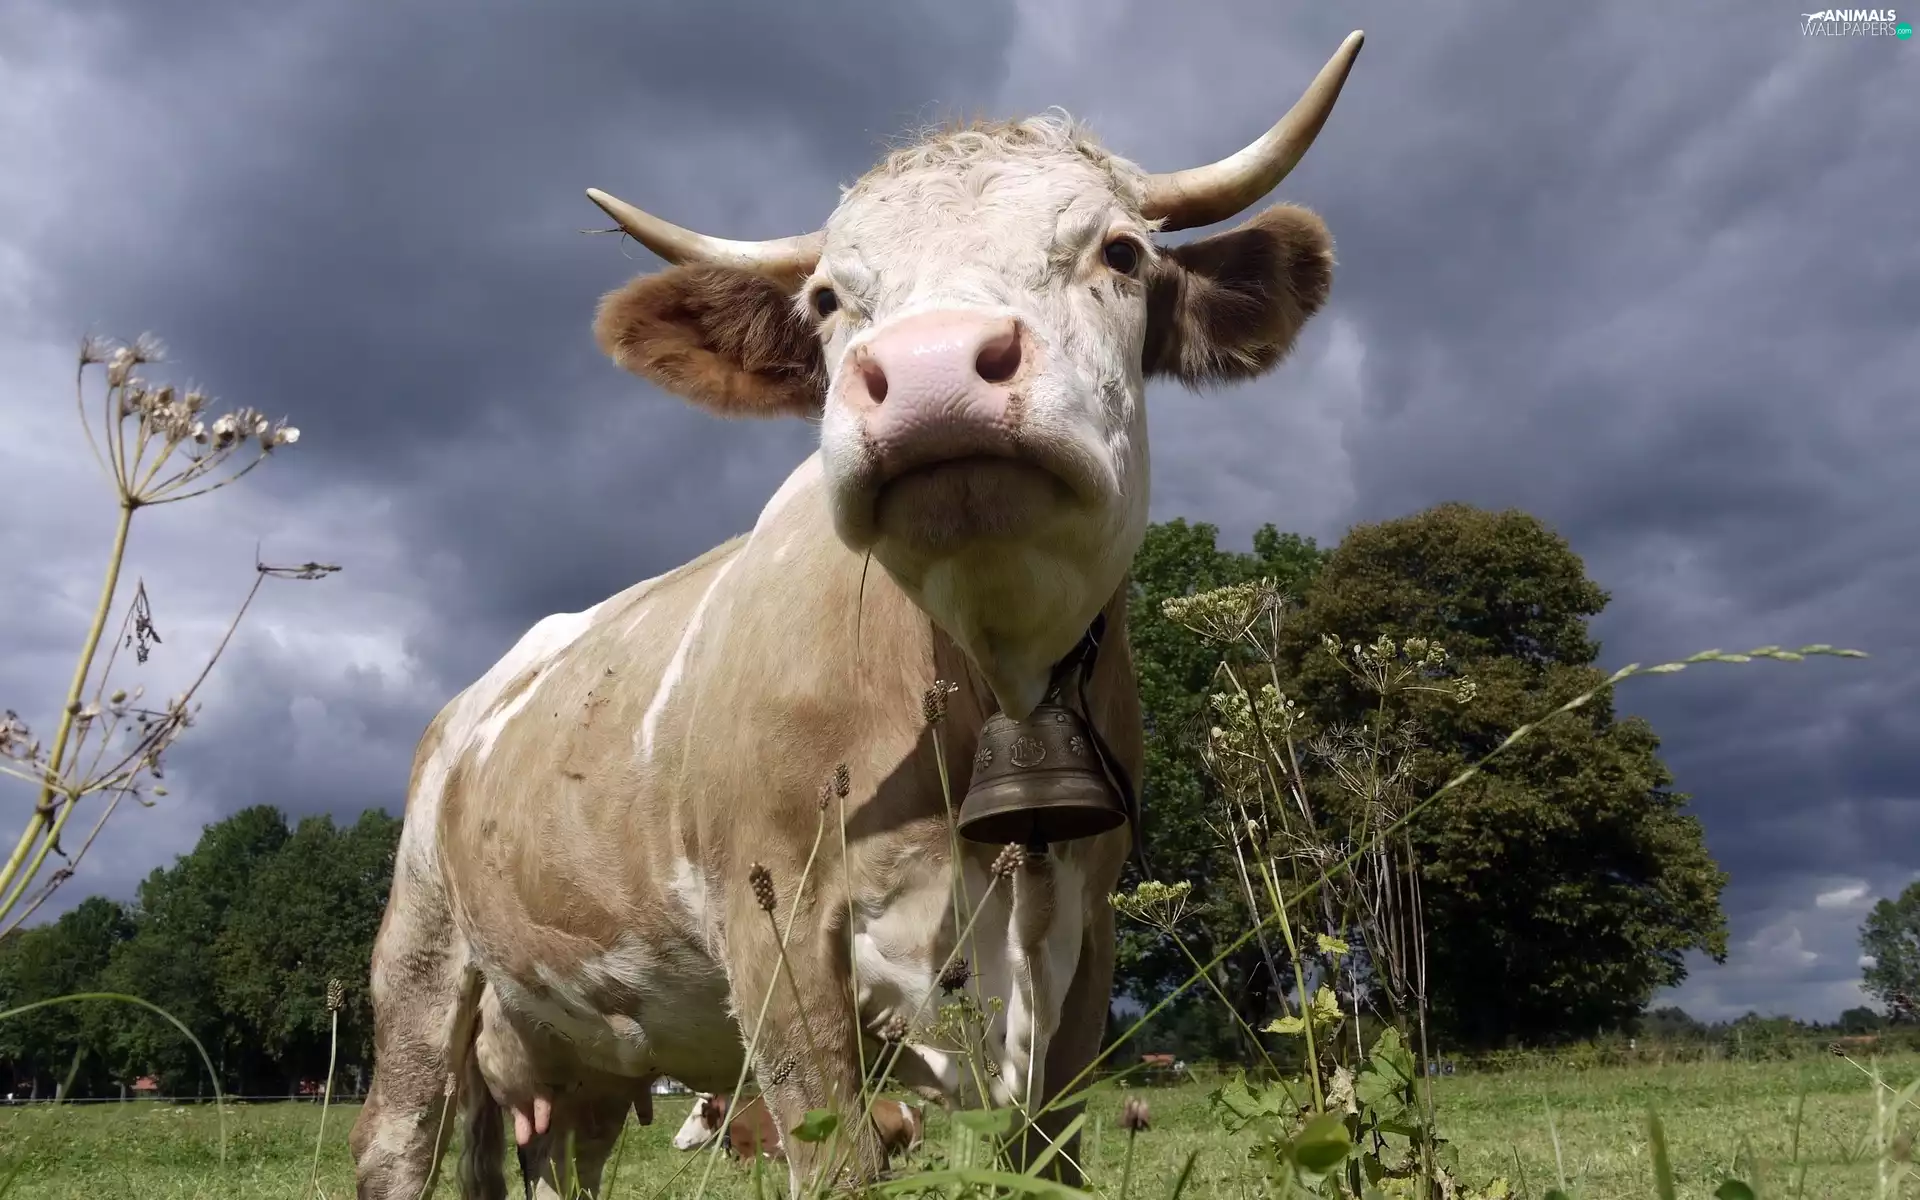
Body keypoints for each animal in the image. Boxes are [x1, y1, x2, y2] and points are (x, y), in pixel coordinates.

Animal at [349, 30, 1362, 1200]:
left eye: (1120, 252)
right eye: (829, 299)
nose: (930, 370)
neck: (980, 677)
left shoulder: (1086, 942)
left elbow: (1049, 1149)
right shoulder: (776, 928)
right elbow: (832, 1152)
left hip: (582, 1060)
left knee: (562, 1152)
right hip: (422, 959)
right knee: (397, 1138)